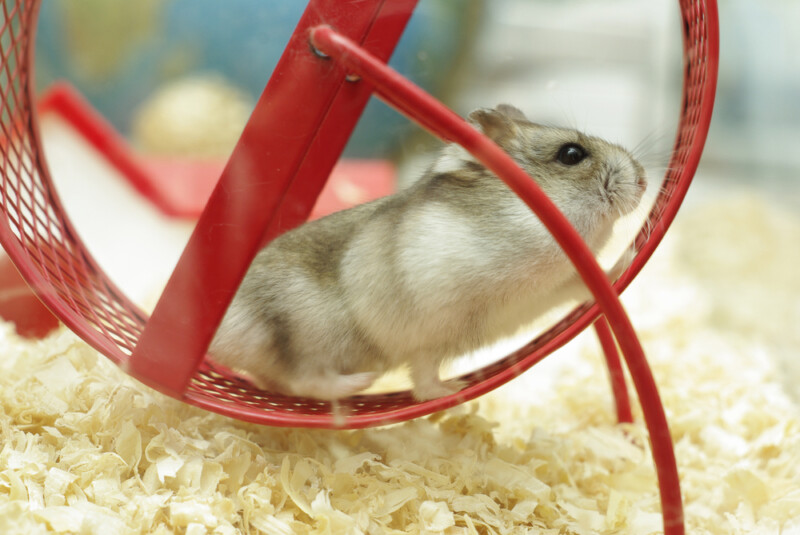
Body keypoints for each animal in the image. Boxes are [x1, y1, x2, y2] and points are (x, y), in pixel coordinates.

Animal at [209, 104, 647, 401]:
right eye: (572, 154)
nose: (644, 180)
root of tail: (220, 332)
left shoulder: (551, 289)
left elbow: (586, 284)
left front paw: (629, 256)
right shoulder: (429, 332)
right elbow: (423, 379)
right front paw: (454, 390)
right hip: (304, 334)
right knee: (305, 379)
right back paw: (365, 383)